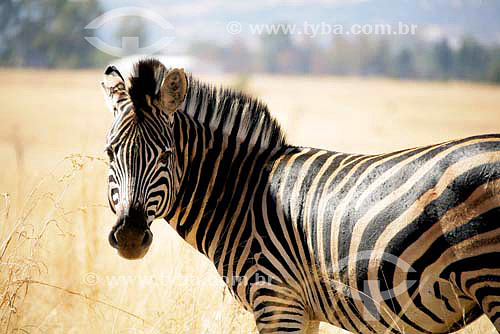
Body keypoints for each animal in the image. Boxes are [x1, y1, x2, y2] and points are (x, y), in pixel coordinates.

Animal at [100, 58, 500, 332]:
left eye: (165, 155)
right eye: (109, 152)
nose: (130, 237)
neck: (241, 196)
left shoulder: (277, 300)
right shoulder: (303, 310)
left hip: (489, 279)